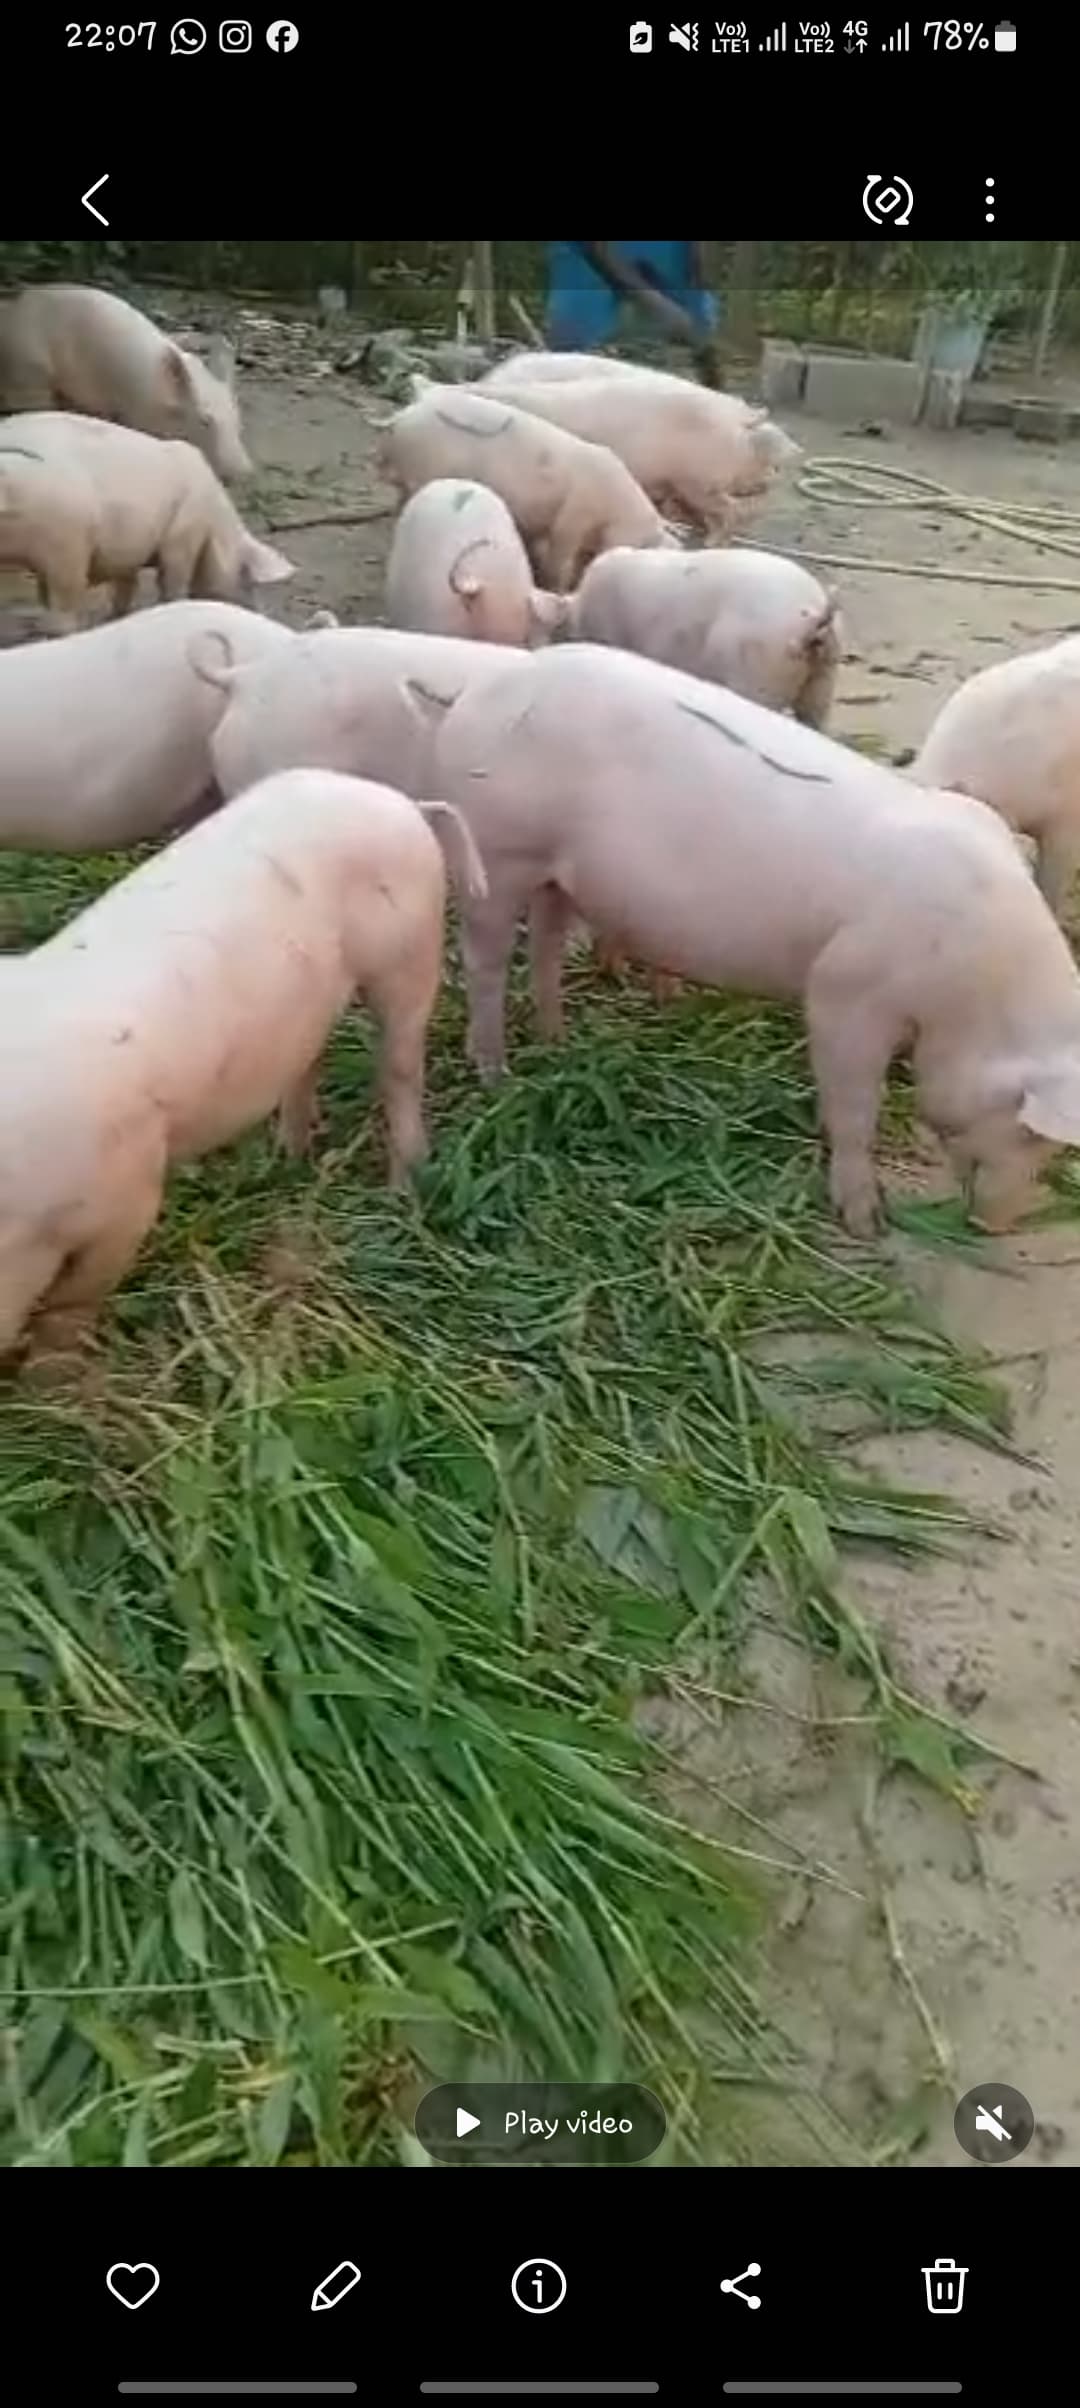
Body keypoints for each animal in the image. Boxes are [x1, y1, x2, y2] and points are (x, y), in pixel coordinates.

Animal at [0, 283, 250, 480]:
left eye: (237, 418)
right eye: (205, 420)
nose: (245, 471)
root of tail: (13, 310)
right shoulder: (136, 412)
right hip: (31, 371)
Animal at [0, 411, 293, 633]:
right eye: (248, 579)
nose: (263, 615)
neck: (216, 525)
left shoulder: (127, 547)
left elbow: (126, 585)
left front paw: (117, 617)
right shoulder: (183, 534)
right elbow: (173, 580)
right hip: (67, 539)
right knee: (65, 602)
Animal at [0, 770, 486, 1366]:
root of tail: (402, 803)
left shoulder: (131, 1195)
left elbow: (70, 1308)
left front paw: (54, 1376)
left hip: (410, 952)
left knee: (401, 1067)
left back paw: (401, 1189)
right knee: (308, 1059)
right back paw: (286, 1159)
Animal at [381, 385, 671, 591]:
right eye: (643, 544)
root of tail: (402, 417)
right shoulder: (574, 516)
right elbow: (560, 556)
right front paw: (558, 588)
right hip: (422, 470)